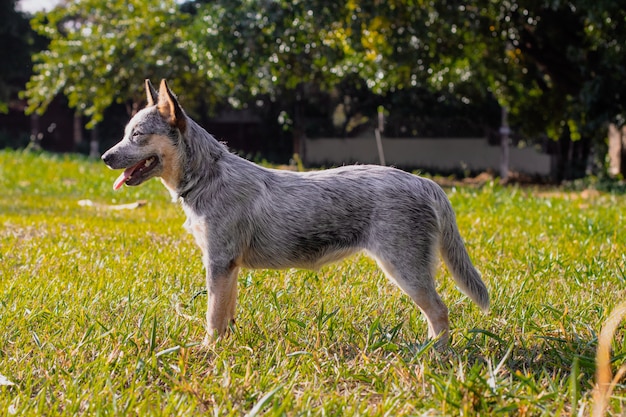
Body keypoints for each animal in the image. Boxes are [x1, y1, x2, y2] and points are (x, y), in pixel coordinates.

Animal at [101, 79, 488, 346]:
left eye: (137, 135)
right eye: (124, 133)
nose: (105, 157)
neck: (207, 175)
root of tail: (425, 182)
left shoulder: (218, 262)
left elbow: (212, 315)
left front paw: (207, 351)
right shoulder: (229, 267)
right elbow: (226, 313)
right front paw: (226, 347)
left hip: (405, 270)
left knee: (439, 311)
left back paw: (434, 354)